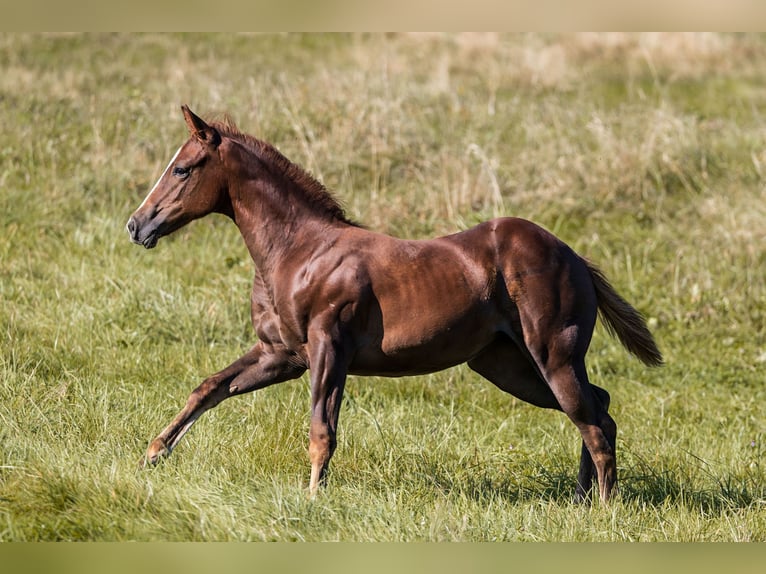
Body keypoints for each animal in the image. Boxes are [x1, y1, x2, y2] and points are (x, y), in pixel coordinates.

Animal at [127, 104, 664, 504]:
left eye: (182, 168)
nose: (137, 225)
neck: (299, 252)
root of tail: (575, 258)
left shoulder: (328, 349)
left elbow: (322, 429)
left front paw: (313, 499)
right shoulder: (281, 355)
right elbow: (209, 387)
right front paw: (152, 453)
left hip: (552, 357)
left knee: (593, 423)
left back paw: (603, 509)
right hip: (504, 364)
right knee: (599, 407)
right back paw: (582, 499)